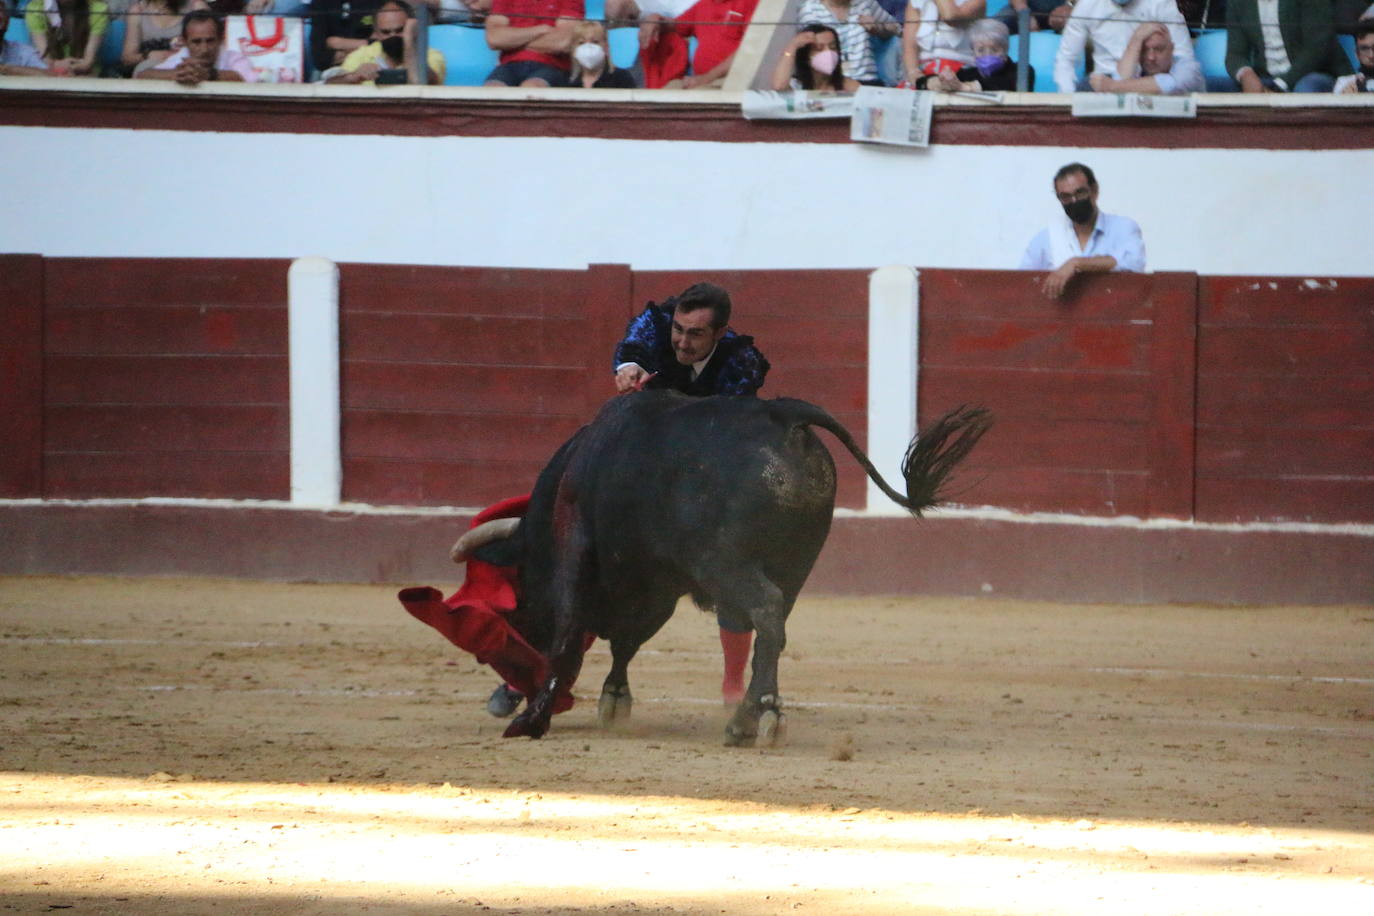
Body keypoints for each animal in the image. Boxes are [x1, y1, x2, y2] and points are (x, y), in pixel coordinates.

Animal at [472, 392, 989, 747]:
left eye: (518, 593)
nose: (507, 691)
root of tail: (785, 414)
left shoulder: (579, 546)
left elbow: (570, 630)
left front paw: (533, 719)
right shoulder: (655, 583)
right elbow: (625, 642)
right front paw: (614, 699)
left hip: (728, 563)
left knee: (766, 612)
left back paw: (748, 719)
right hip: (794, 565)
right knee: (773, 628)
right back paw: (759, 714)